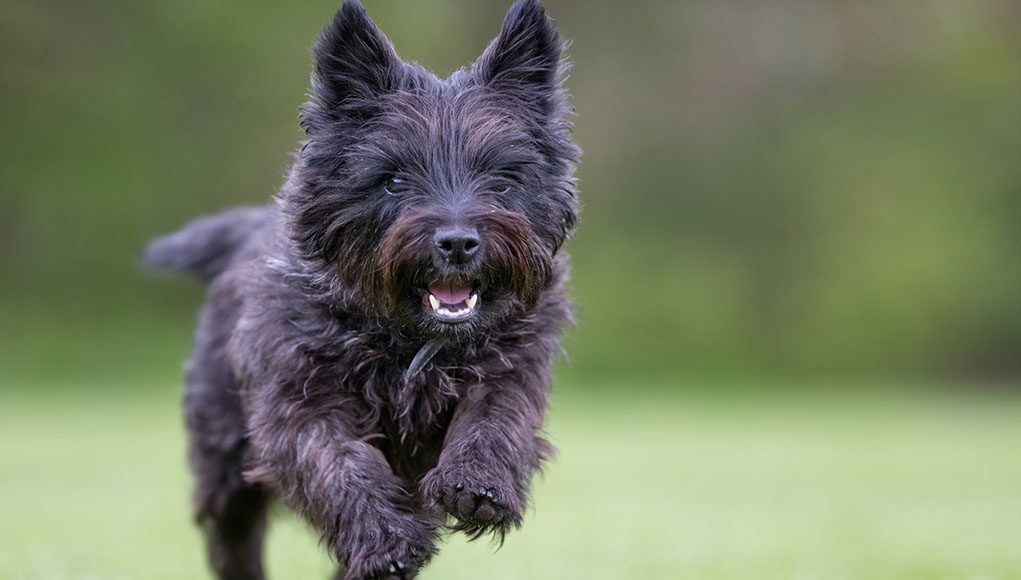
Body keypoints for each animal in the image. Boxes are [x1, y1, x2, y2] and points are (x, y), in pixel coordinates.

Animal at [143, 2, 579, 575]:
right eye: (393, 180)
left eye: (502, 178)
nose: (458, 243)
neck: (409, 342)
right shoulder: (296, 402)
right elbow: (339, 463)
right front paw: (387, 539)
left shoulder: (515, 365)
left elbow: (495, 416)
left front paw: (477, 484)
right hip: (223, 449)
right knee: (232, 533)